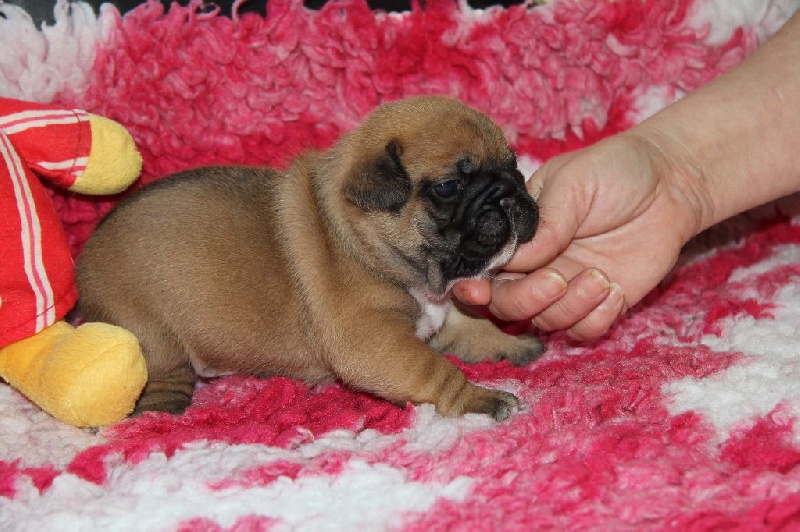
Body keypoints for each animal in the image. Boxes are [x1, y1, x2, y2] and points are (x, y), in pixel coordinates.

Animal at [76, 95, 544, 421]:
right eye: (449, 187)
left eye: (514, 165)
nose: (509, 194)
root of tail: (85, 257)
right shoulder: (374, 340)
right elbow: (435, 371)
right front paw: (480, 399)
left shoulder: (440, 310)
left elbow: (471, 324)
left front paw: (512, 343)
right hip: (150, 335)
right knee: (162, 372)